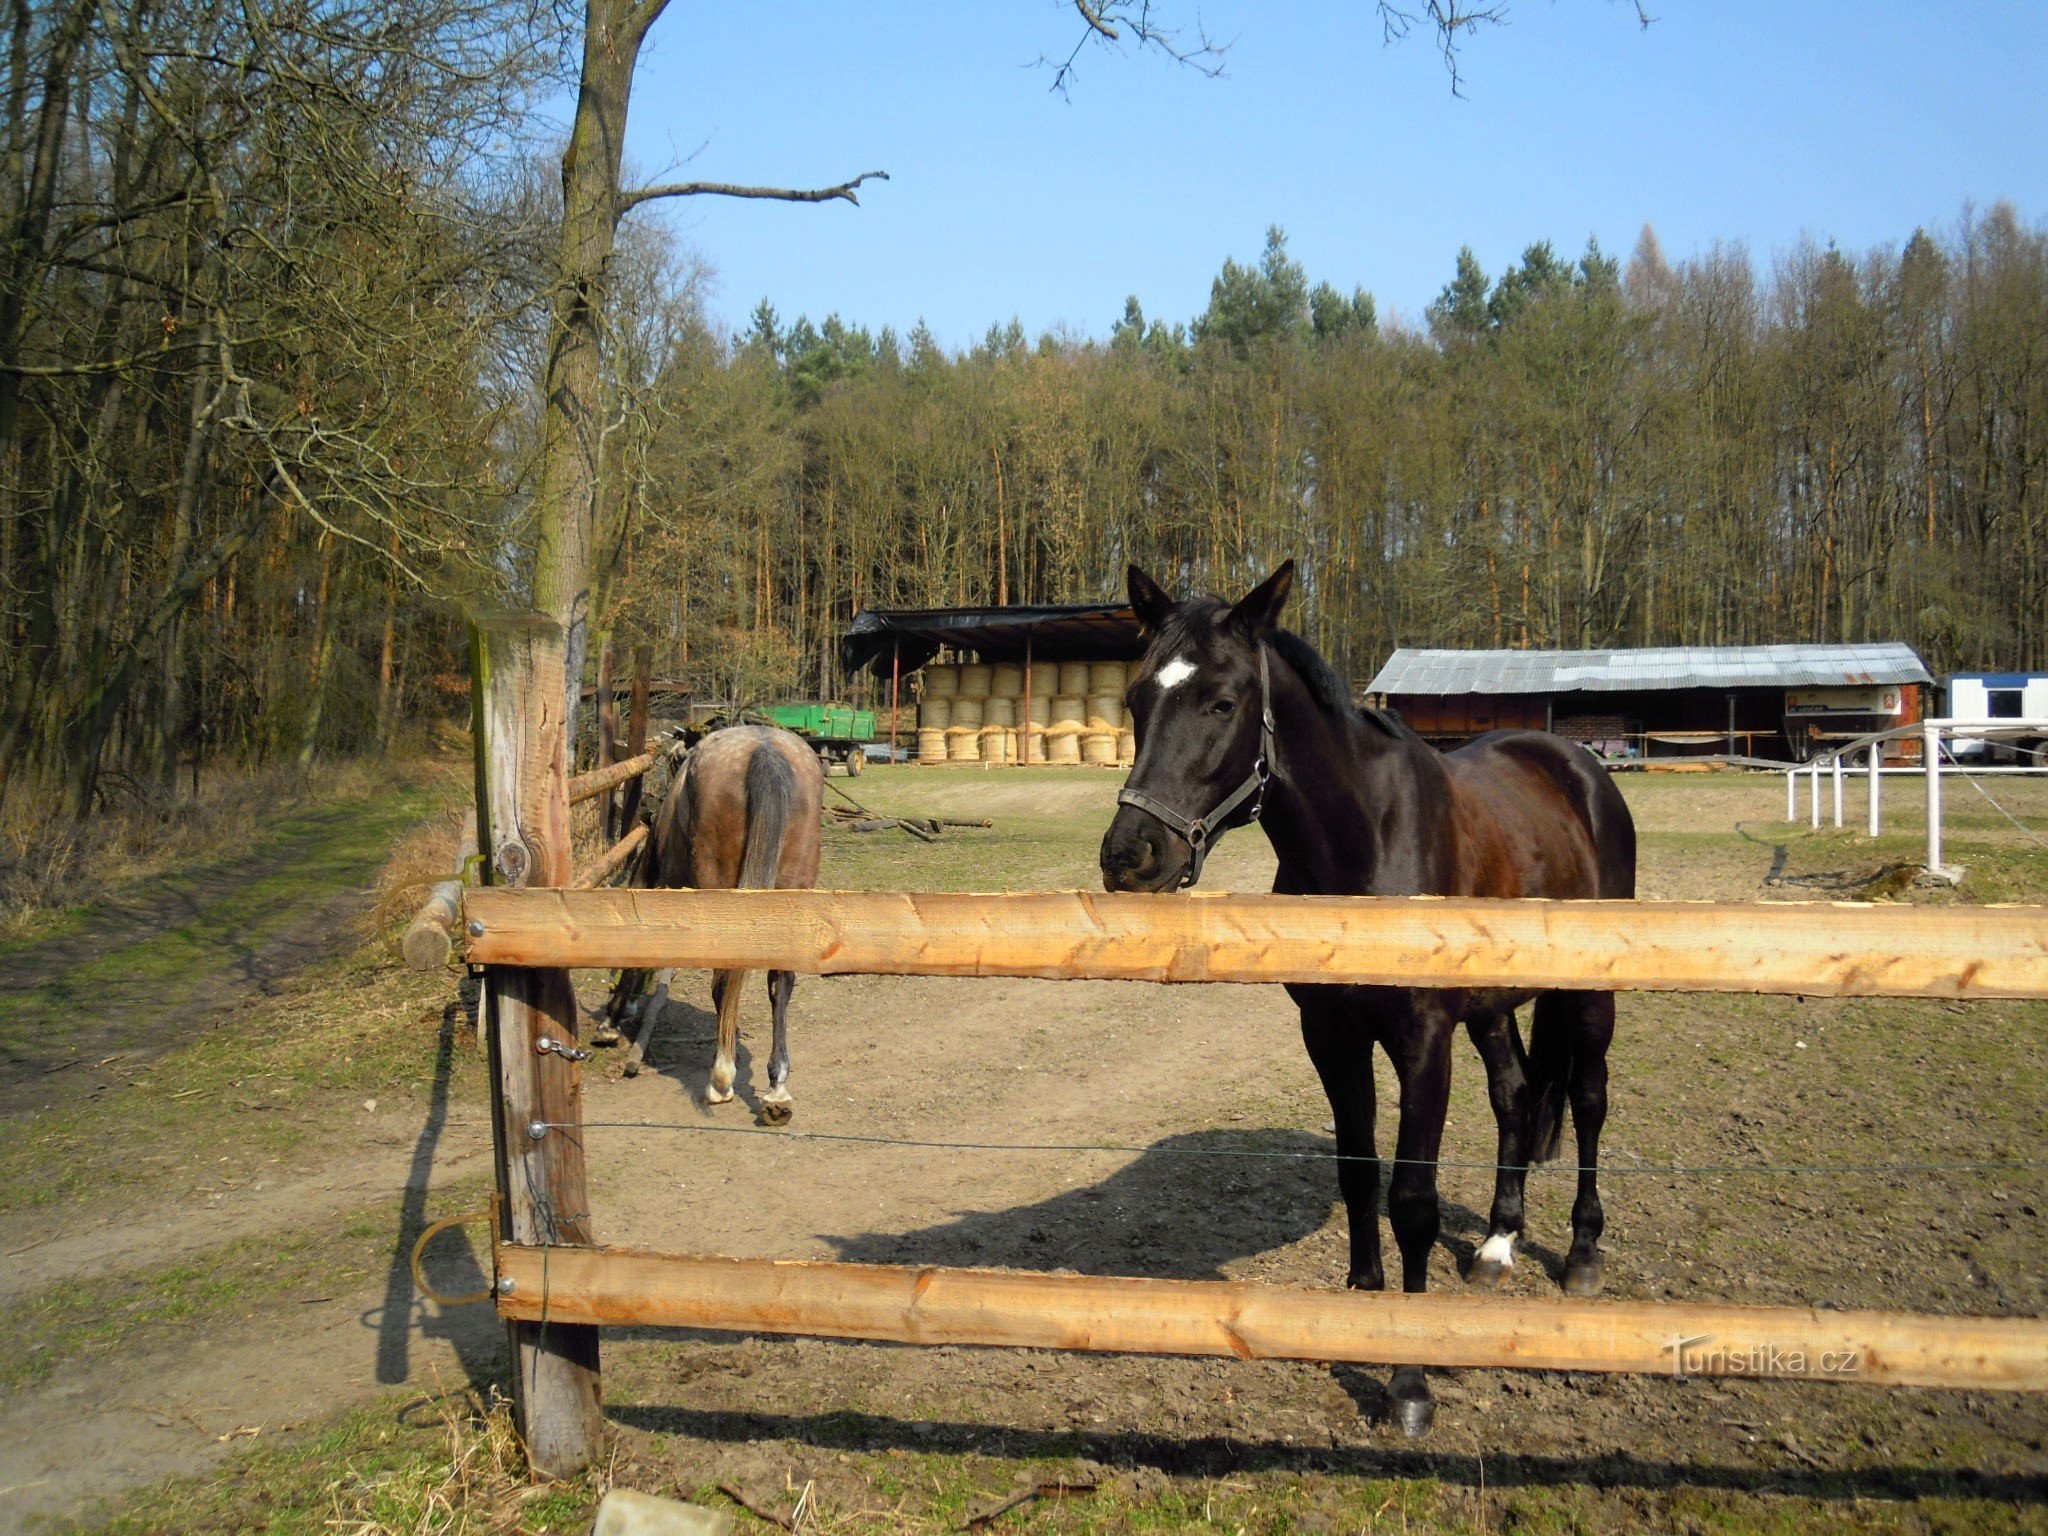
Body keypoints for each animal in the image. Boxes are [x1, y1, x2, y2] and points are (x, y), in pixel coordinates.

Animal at [602, 729, 827, 1122]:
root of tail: (765, 750)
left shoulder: (652, 884)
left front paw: (613, 1019)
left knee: (725, 978)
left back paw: (721, 1078)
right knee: (780, 982)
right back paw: (777, 1089)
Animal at [1097, 565, 1638, 1441]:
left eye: (1222, 701)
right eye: (1138, 698)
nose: (1131, 855)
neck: (1366, 843)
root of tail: (1577, 765)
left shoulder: (1422, 1039)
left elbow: (1411, 1201)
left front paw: (1408, 1382)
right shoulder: (1330, 1034)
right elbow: (1358, 1172)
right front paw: (1361, 1303)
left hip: (1588, 994)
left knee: (1587, 1101)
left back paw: (1583, 1255)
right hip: (1491, 1008)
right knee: (1517, 1095)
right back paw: (1498, 1244)